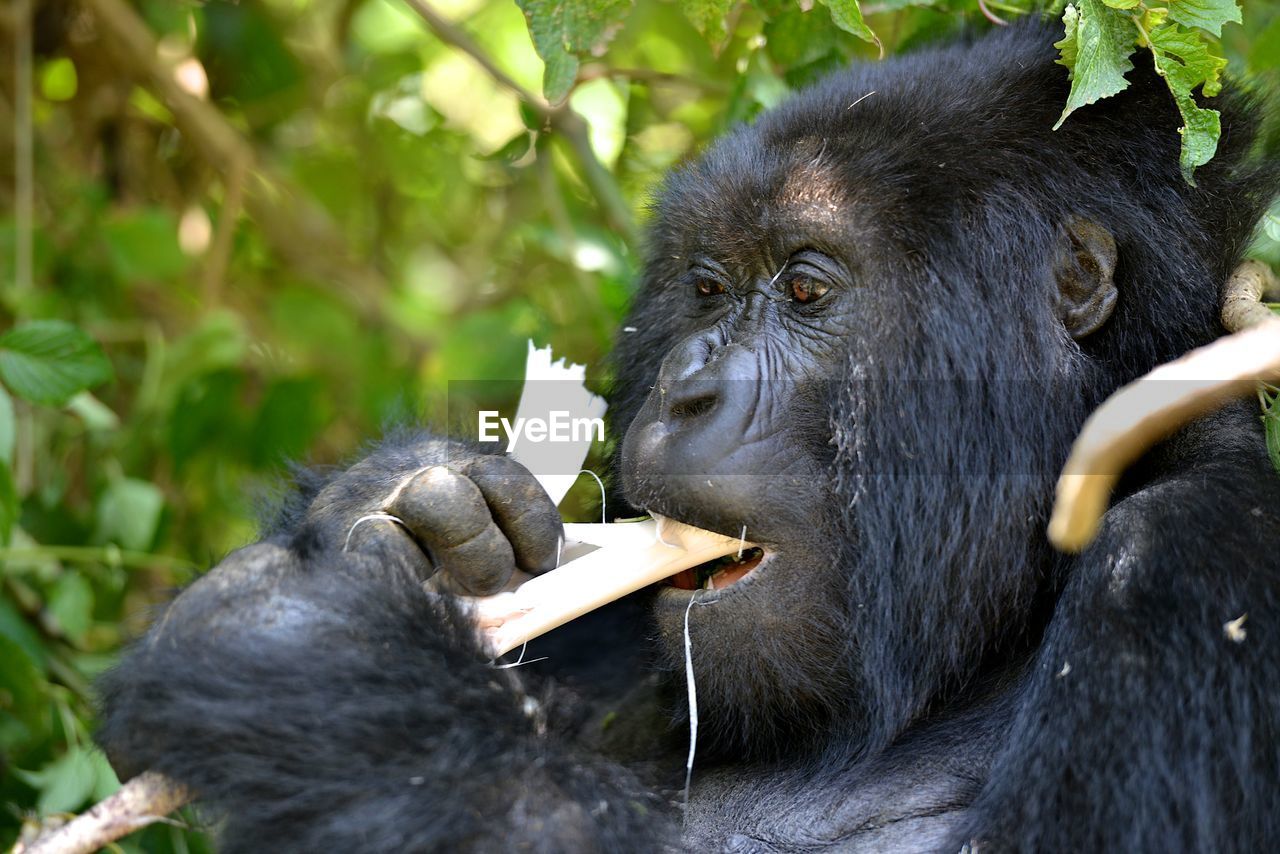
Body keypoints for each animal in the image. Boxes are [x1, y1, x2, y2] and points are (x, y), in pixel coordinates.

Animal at [97, 23, 1280, 850]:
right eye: (706, 289)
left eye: (804, 289)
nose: (684, 391)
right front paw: (416, 514)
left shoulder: (1189, 556)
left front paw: (313, 660)